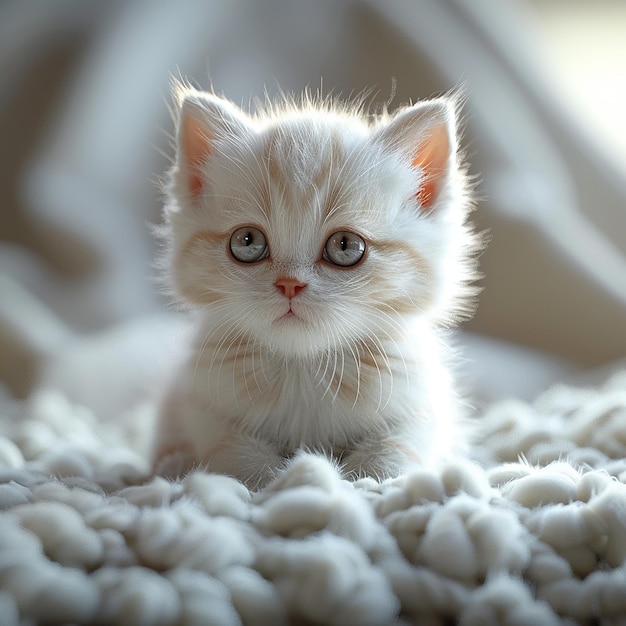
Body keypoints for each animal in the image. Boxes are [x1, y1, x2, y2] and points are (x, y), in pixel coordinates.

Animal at [154, 84, 480, 488]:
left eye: (345, 247)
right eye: (247, 242)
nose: (289, 284)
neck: (303, 375)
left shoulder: (425, 405)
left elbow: (395, 455)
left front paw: (363, 480)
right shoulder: (199, 402)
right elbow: (236, 458)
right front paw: (286, 477)